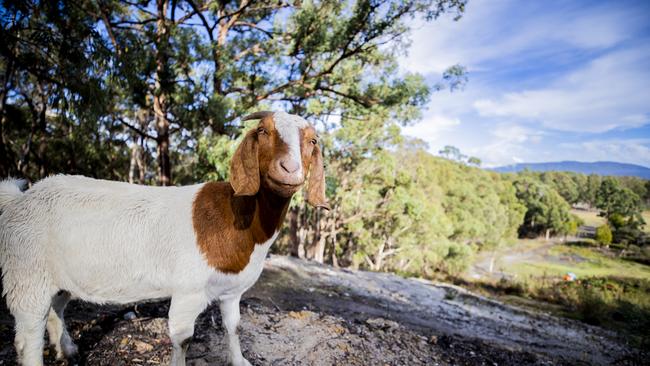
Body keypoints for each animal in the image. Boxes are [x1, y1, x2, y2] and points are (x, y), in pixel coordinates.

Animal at [0, 111, 326, 366]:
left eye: (312, 141)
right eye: (263, 131)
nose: (290, 170)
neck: (239, 215)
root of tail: (21, 198)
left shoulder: (232, 290)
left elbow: (233, 327)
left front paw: (239, 360)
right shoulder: (188, 290)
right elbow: (183, 339)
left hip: (59, 276)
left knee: (55, 309)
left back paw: (67, 350)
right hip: (26, 274)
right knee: (28, 334)